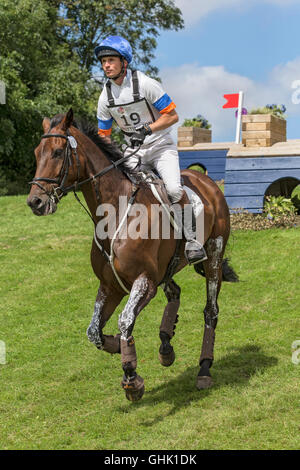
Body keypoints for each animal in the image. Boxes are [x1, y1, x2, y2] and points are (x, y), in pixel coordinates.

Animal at [27, 109, 238, 400]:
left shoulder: (144, 281)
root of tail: (207, 181)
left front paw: (131, 377)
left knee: (211, 311)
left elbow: (125, 321)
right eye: (38, 153)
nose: (35, 202)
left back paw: (204, 369)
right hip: (166, 267)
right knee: (174, 292)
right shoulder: (111, 286)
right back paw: (166, 346)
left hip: (214, 255)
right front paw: (118, 346)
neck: (114, 213)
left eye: (58, 152)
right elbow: (94, 332)